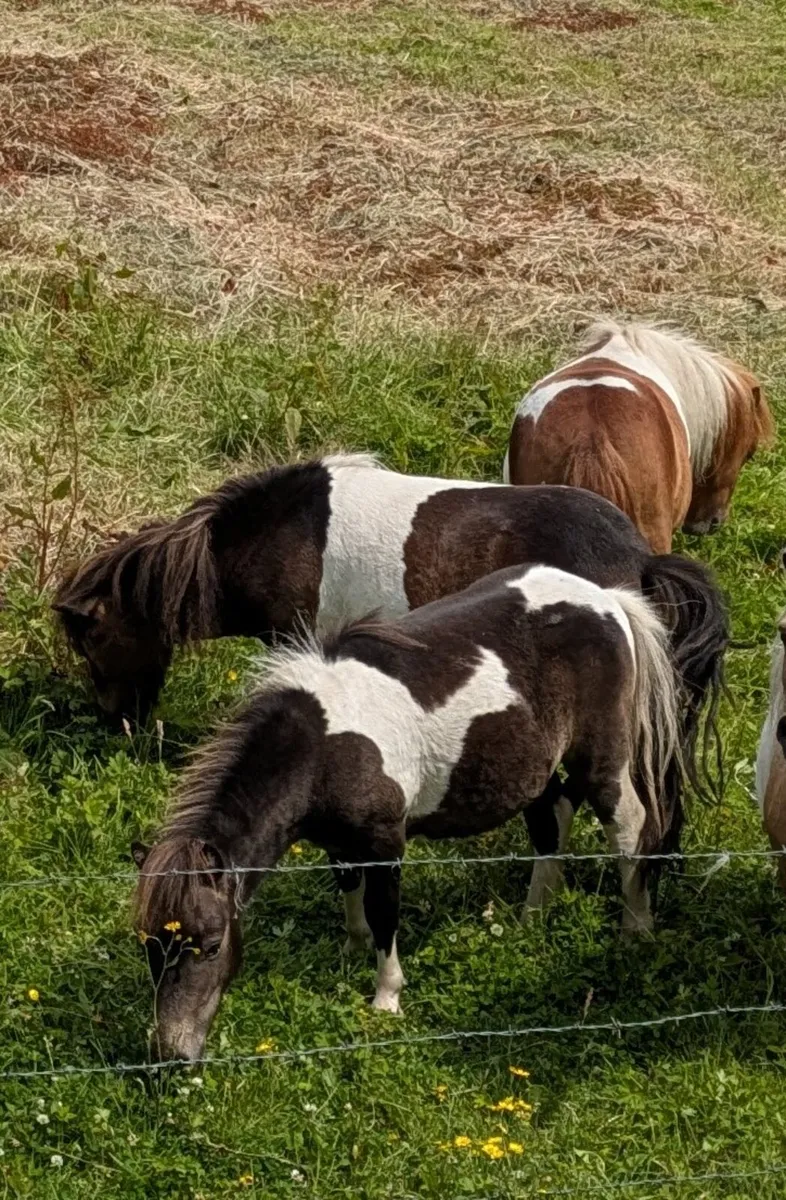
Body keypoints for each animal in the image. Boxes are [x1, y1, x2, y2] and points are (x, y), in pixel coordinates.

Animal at [132, 562, 683, 1061]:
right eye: (149, 945)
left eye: (210, 945)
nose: (171, 1051)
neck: (323, 741)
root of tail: (609, 600)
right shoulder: (340, 842)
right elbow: (350, 894)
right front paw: (351, 952)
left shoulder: (385, 842)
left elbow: (384, 913)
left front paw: (386, 998)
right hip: (536, 769)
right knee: (553, 821)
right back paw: (533, 919)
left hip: (602, 762)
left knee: (629, 829)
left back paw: (634, 931)